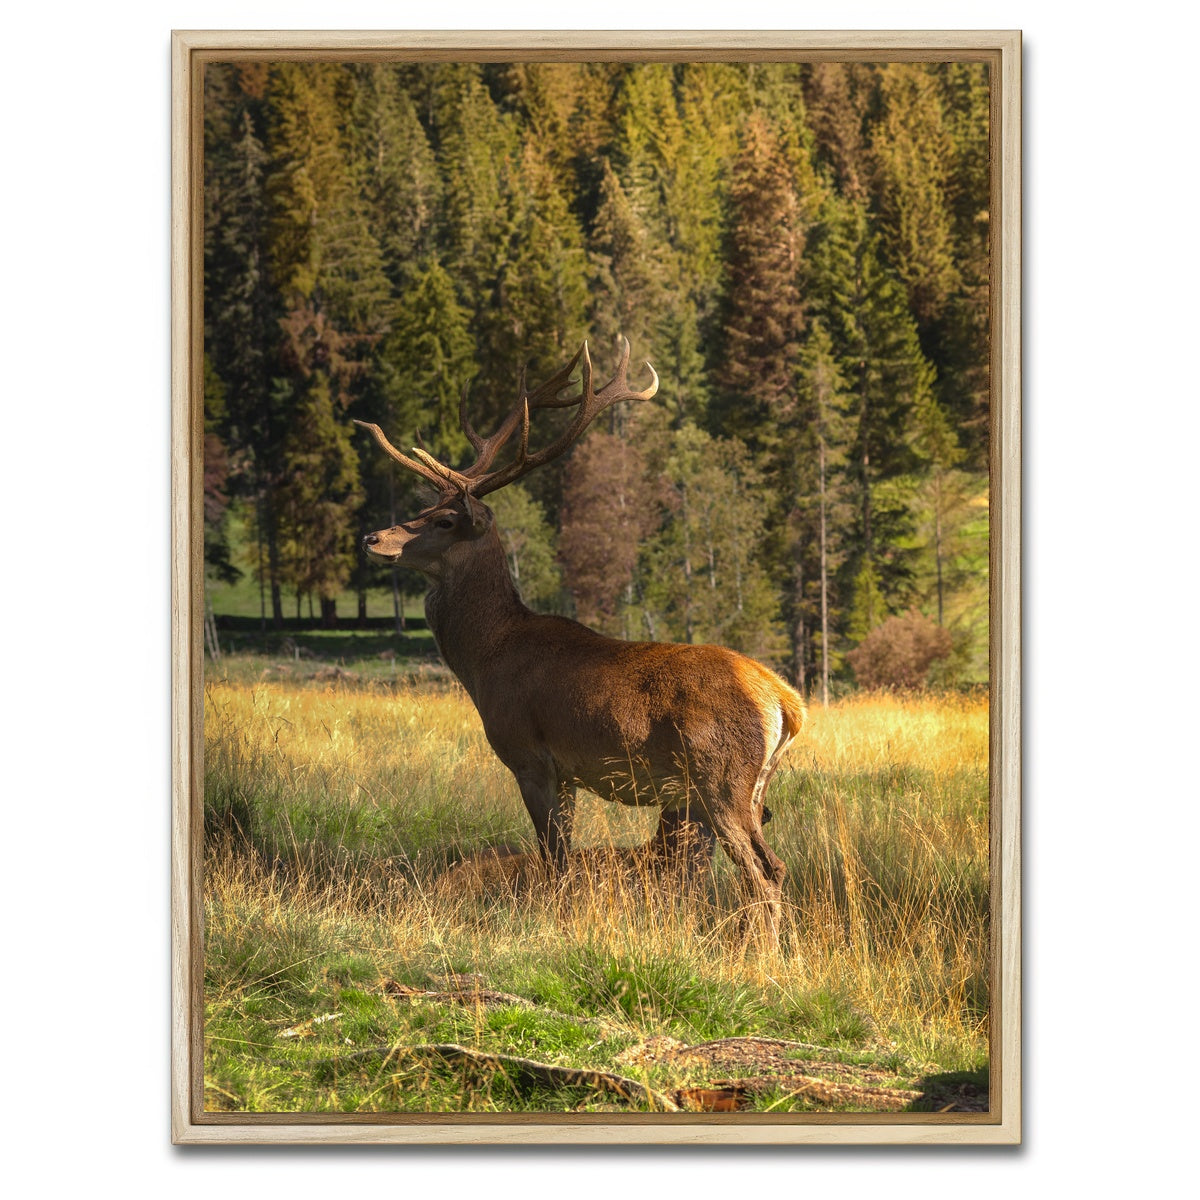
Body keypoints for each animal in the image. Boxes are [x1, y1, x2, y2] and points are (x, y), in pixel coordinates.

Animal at [355, 338, 805, 945]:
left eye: (445, 520)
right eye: (423, 509)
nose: (372, 537)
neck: (486, 659)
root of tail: (784, 700)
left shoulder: (530, 754)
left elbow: (556, 860)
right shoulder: (567, 773)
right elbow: (561, 858)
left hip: (720, 778)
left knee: (763, 870)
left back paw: (765, 956)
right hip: (750, 787)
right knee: (771, 864)